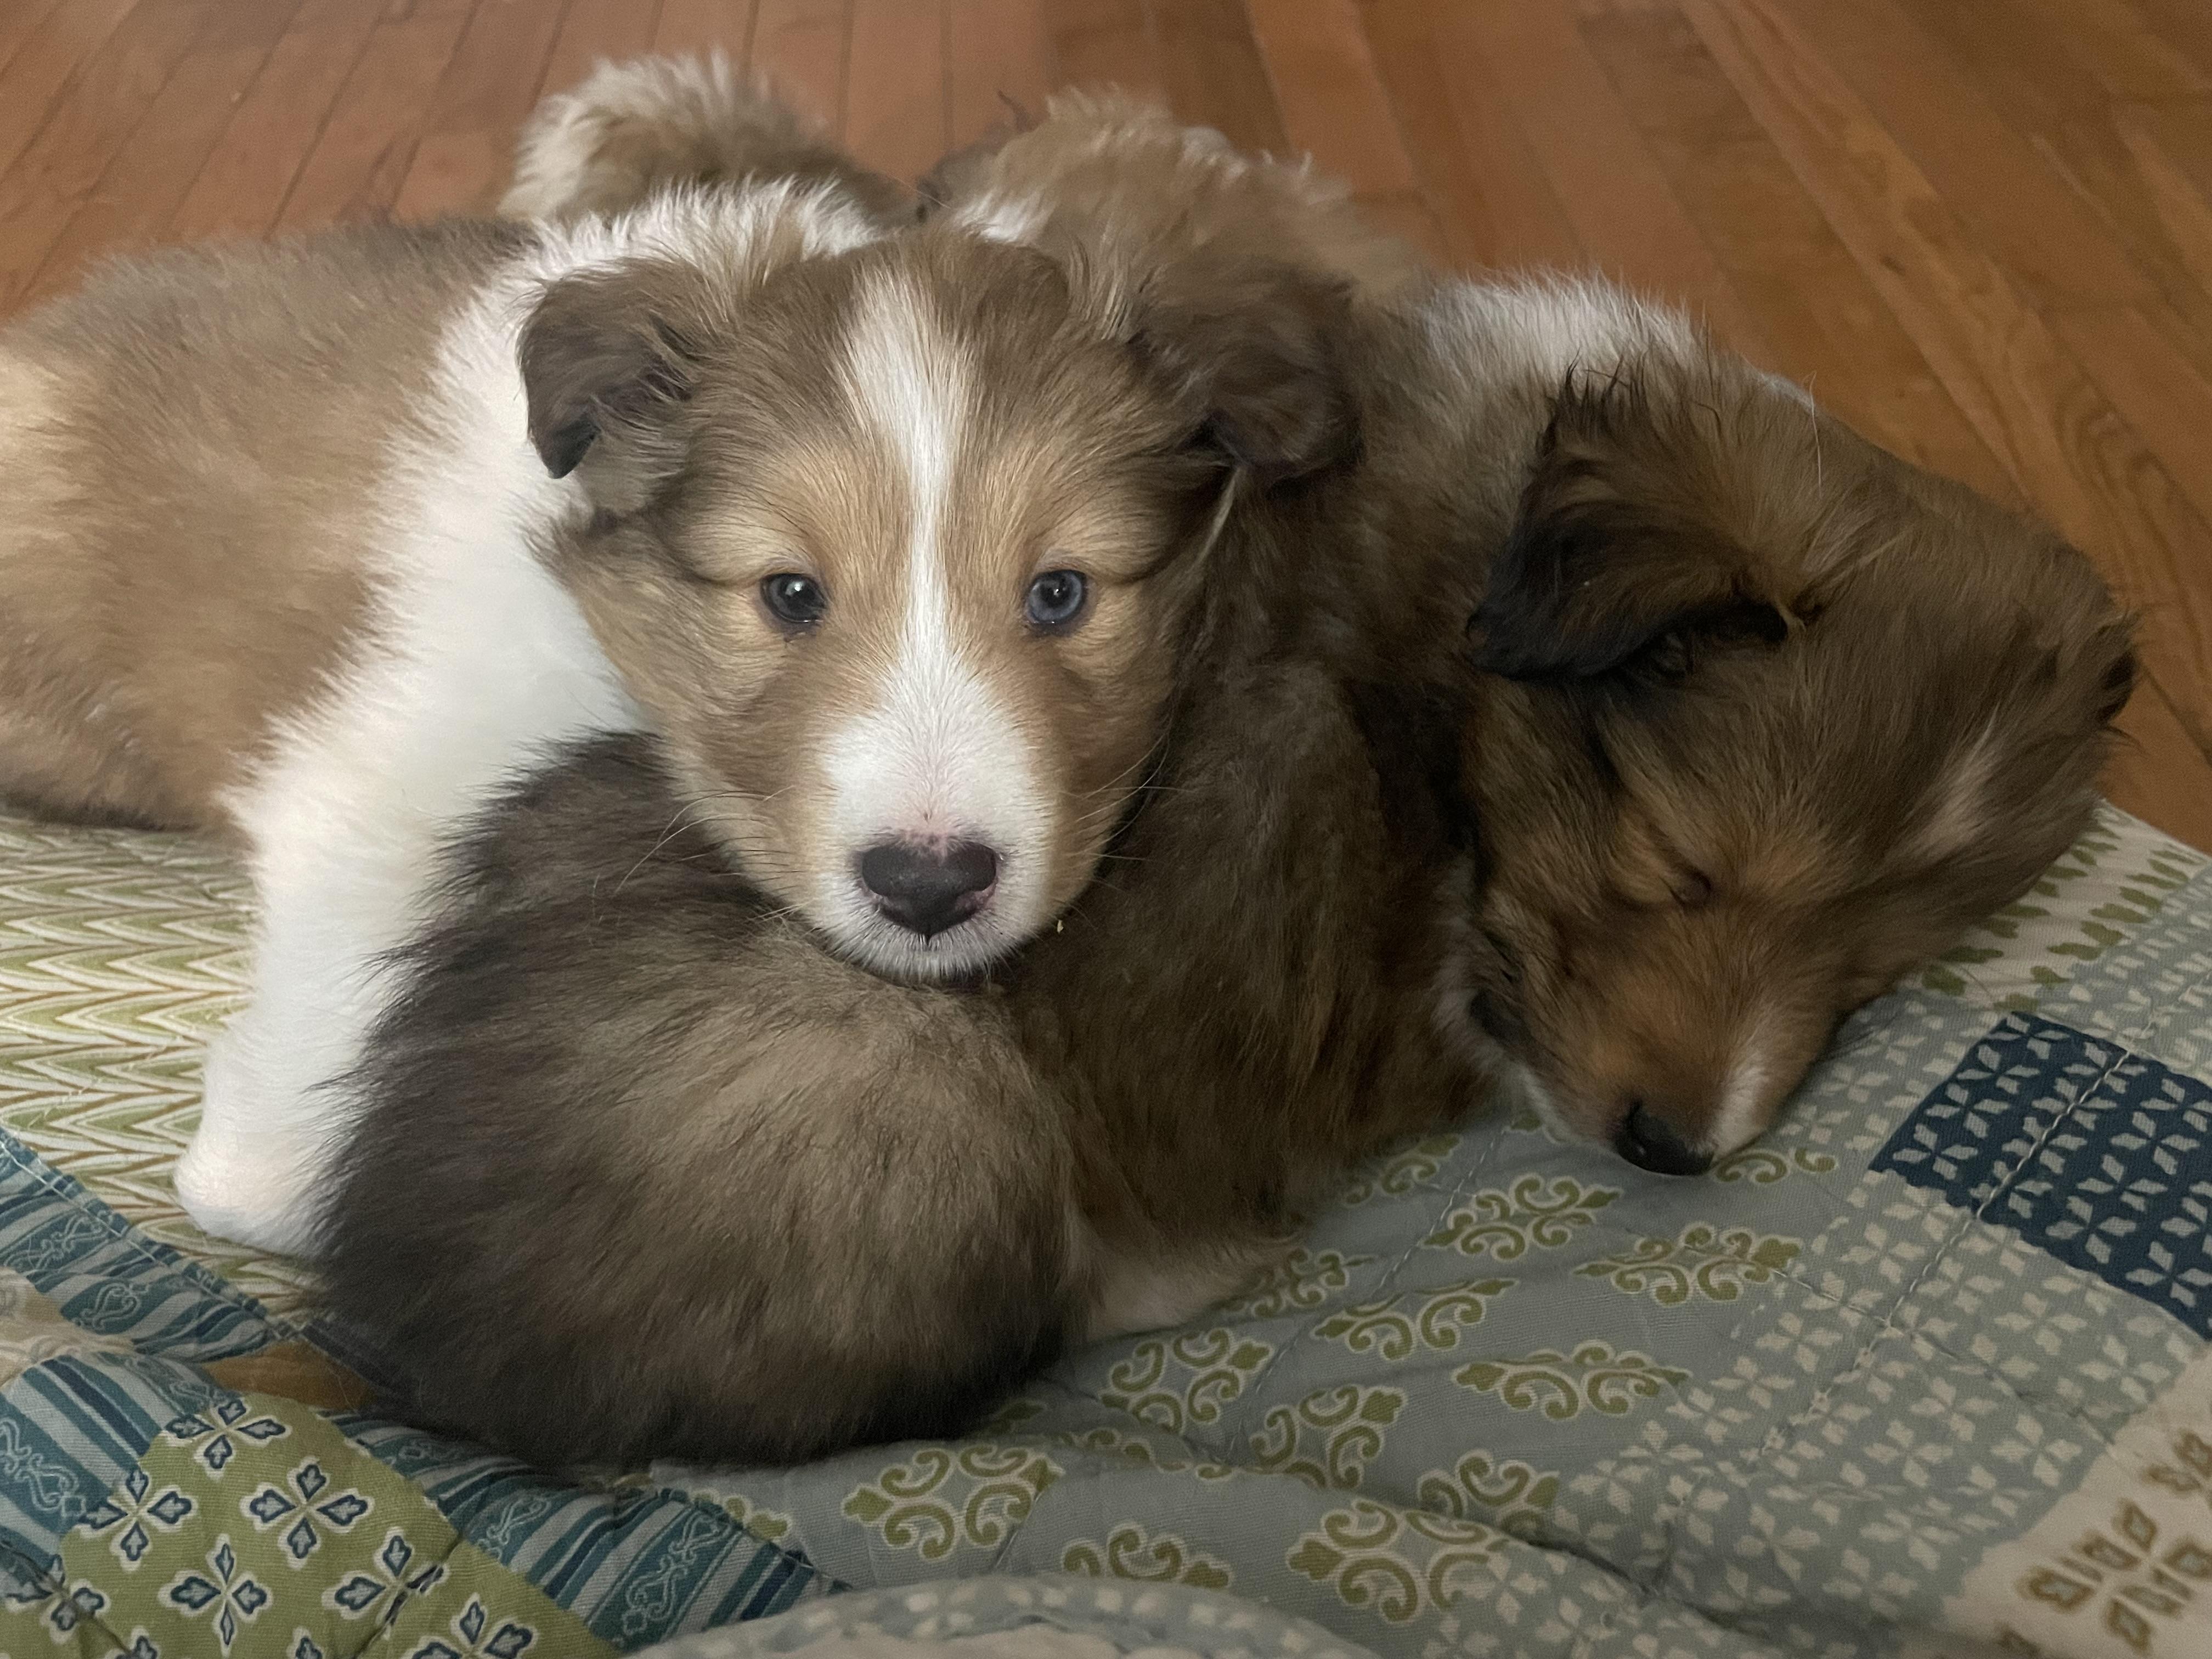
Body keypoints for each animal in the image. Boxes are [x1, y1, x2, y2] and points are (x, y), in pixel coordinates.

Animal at [0, 82, 1353, 1254]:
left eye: (1061, 593)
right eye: (789, 593)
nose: (929, 886)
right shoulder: (388, 765)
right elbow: (305, 1084)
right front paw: (259, 1166)